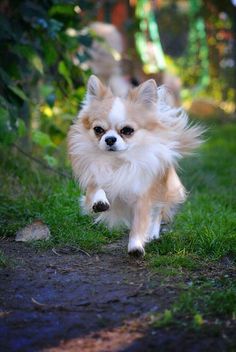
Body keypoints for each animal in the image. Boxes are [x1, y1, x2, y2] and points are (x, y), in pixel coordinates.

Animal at [68, 75, 203, 256]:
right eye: (98, 130)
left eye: (127, 130)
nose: (110, 139)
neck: (118, 161)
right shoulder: (94, 177)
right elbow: (96, 189)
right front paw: (100, 202)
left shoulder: (143, 197)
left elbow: (140, 223)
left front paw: (136, 245)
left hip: (163, 188)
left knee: (158, 212)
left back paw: (153, 232)